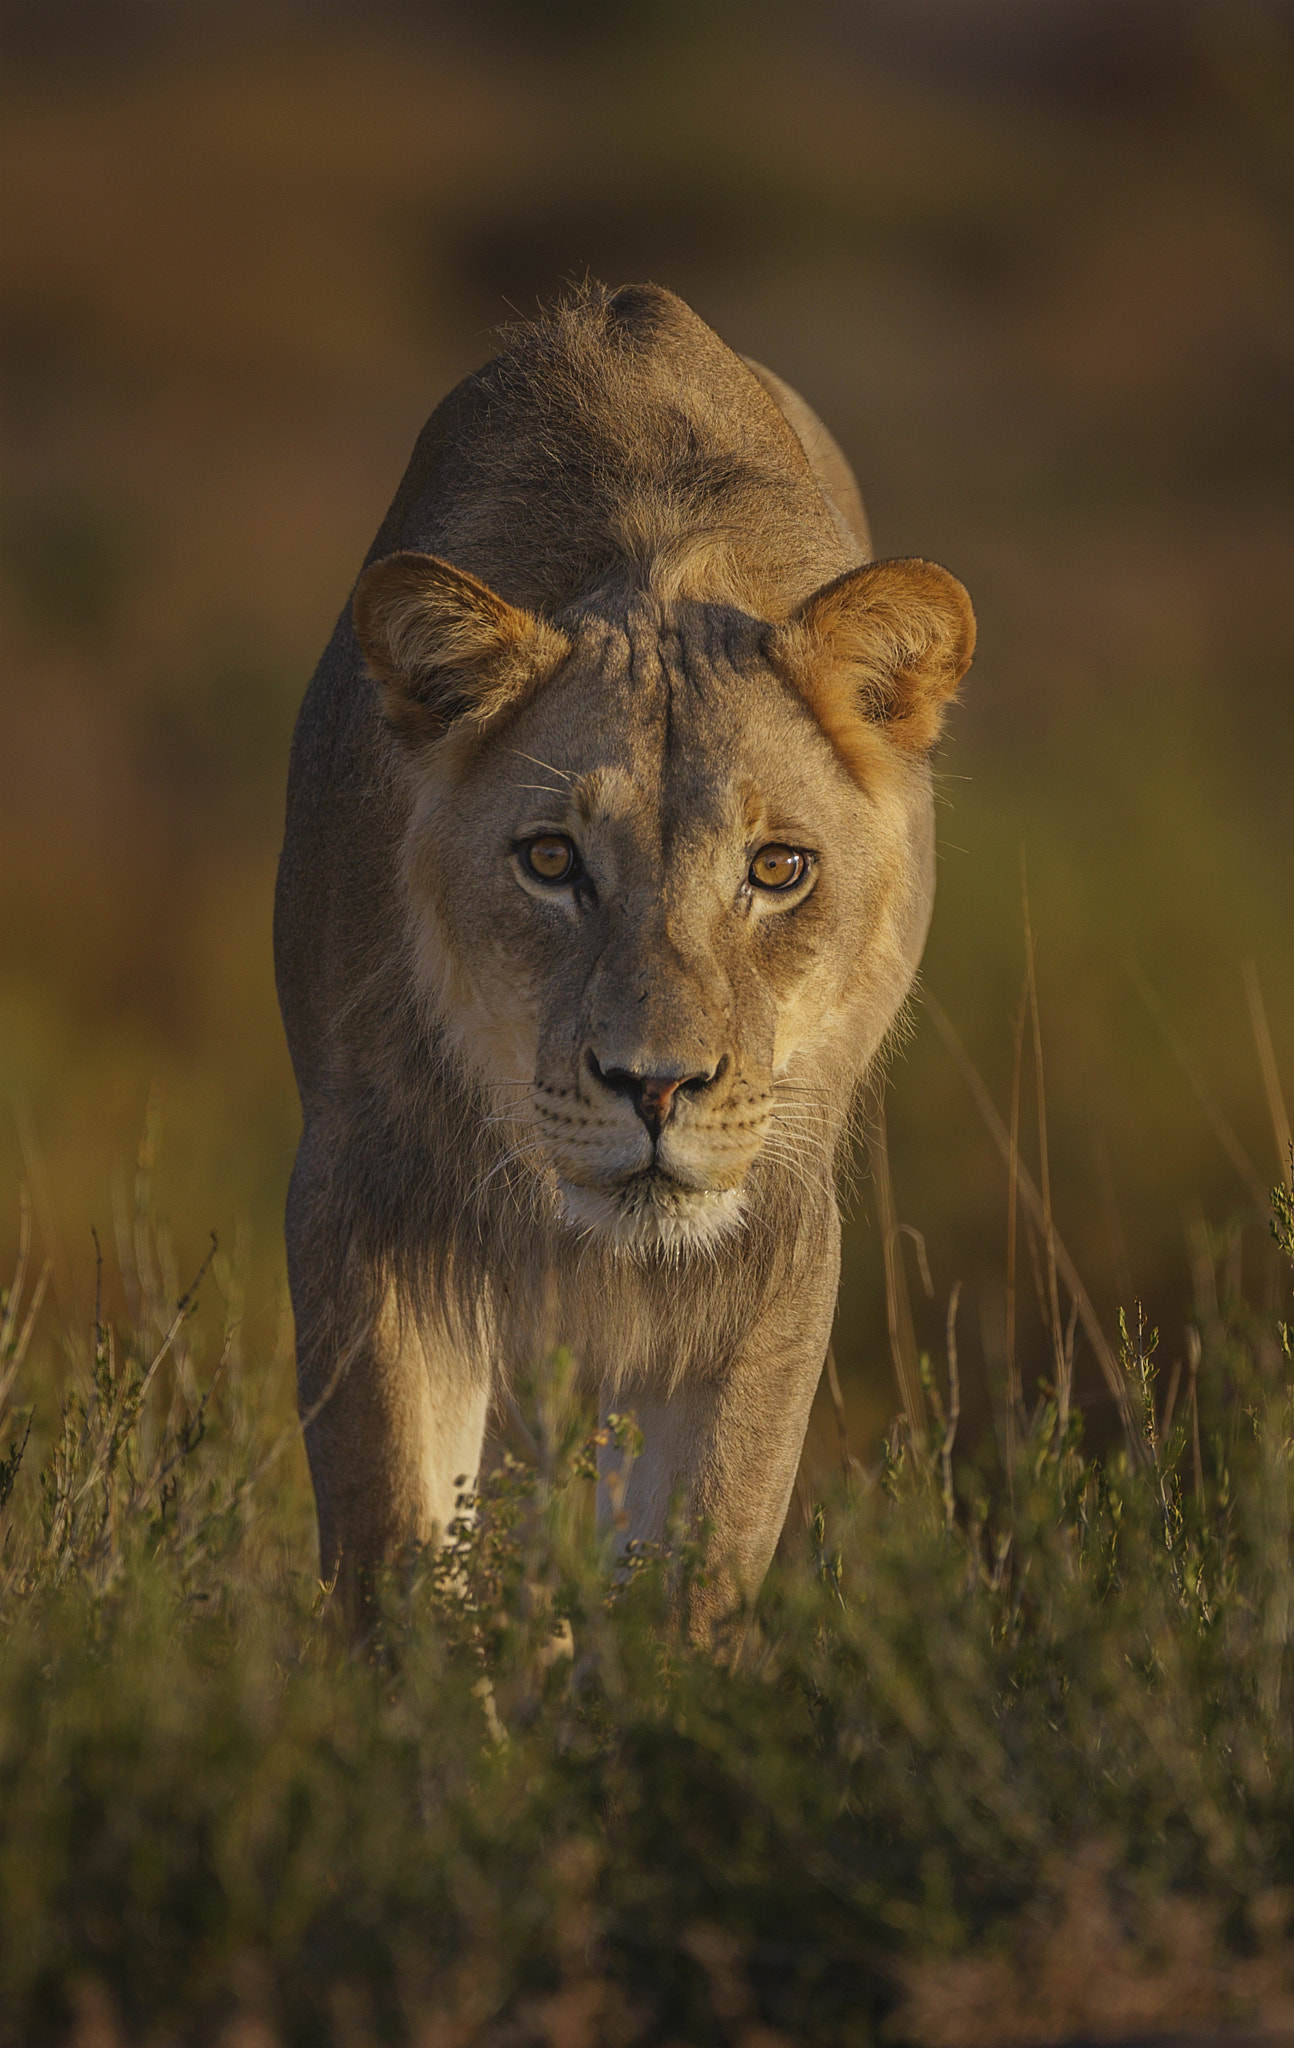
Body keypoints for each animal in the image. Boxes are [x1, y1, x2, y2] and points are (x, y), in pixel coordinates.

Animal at [274, 282, 974, 1629]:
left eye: (777, 868)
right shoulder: (362, 1198)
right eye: (550, 861)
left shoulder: (773, 1239)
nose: (655, 1087)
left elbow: (699, 1553)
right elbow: (395, 1537)